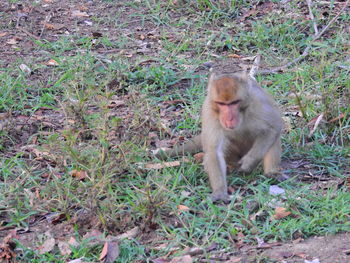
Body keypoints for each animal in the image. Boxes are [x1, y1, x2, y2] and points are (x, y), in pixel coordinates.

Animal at [157, 70, 284, 202]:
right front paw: (219, 192)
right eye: (221, 103)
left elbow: (274, 126)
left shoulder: (258, 101)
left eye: (234, 102)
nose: (229, 118)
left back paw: (271, 172)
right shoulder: (209, 110)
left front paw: (250, 161)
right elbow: (215, 151)